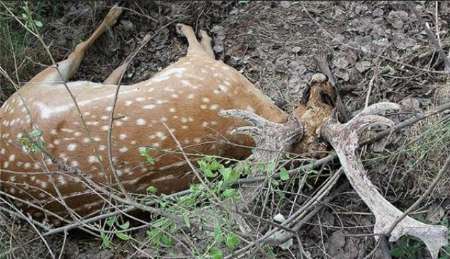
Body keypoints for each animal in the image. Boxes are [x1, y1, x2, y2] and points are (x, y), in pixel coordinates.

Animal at [0, 5, 338, 221]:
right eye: (323, 102)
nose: (327, 84)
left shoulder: (200, 68)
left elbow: (199, 44)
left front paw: (186, 28)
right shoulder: (201, 68)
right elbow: (200, 43)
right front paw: (189, 28)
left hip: (27, 93)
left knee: (83, 54)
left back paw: (125, 25)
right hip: (27, 93)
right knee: (84, 55)